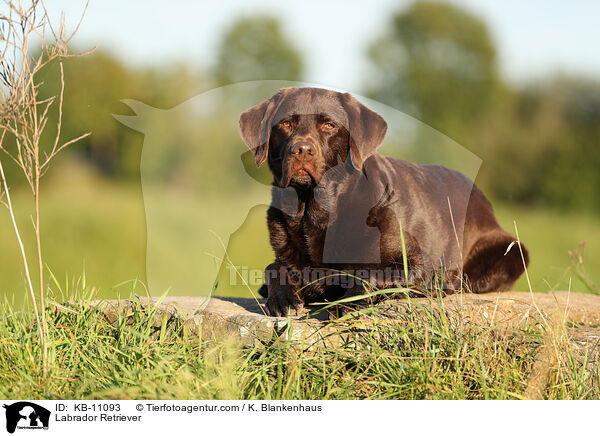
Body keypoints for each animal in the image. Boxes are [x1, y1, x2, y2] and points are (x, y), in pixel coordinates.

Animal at [237, 87, 528, 316]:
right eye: (285, 124)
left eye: (329, 125)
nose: (302, 150)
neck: (315, 211)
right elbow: (273, 267)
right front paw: (283, 298)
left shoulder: (419, 264)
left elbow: (369, 273)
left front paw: (345, 303)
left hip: (511, 251)